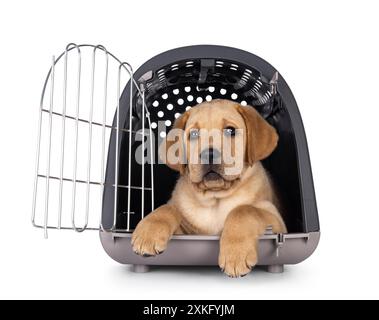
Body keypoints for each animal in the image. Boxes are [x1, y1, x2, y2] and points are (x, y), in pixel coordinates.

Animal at [132, 99, 286, 276]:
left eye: (230, 130)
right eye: (193, 134)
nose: (209, 155)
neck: (215, 199)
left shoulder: (276, 218)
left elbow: (244, 210)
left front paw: (235, 254)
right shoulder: (187, 231)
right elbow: (168, 208)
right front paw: (147, 233)